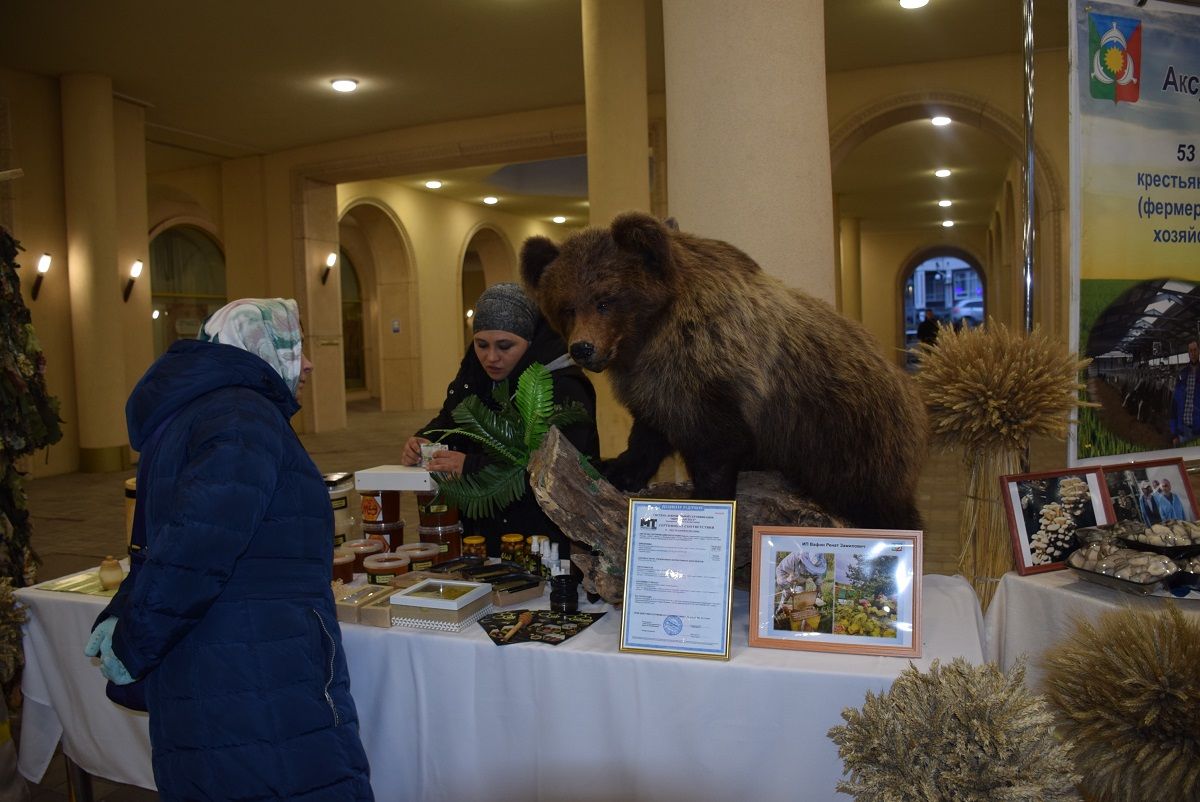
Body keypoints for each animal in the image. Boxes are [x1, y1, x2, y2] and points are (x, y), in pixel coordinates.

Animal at [518, 211, 926, 533]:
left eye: (605, 300)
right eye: (568, 306)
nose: (582, 348)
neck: (651, 336)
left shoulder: (712, 376)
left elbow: (717, 447)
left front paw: (707, 501)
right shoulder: (657, 385)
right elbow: (649, 430)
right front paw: (618, 467)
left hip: (850, 437)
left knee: (878, 501)